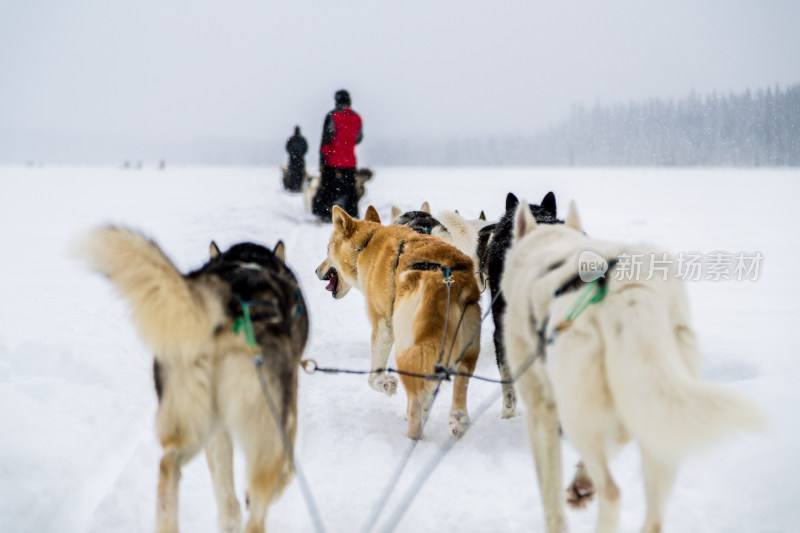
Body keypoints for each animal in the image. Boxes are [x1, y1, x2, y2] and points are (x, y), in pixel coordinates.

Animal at [80, 228, 306, 532]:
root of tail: (226, 305)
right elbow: (288, 472)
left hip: (192, 422)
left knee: (171, 466)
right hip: (267, 424)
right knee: (257, 506)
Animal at [318, 204, 482, 436]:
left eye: (327, 249)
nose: (316, 270)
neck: (367, 243)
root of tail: (443, 280)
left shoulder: (383, 325)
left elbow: (373, 376)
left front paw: (386, 384)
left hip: (406, 344)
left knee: (415, 396)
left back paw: (413, 432)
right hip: (466, 348)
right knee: (459, 381)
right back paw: (457, 419)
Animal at [506, 203, 764, 532]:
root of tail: (630, 288)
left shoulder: (542, 410)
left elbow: (551, 496)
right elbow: (618, 439)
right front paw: (581, 481)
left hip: (577, 409)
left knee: (612, 491)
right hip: (659, 420)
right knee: (653, 518)